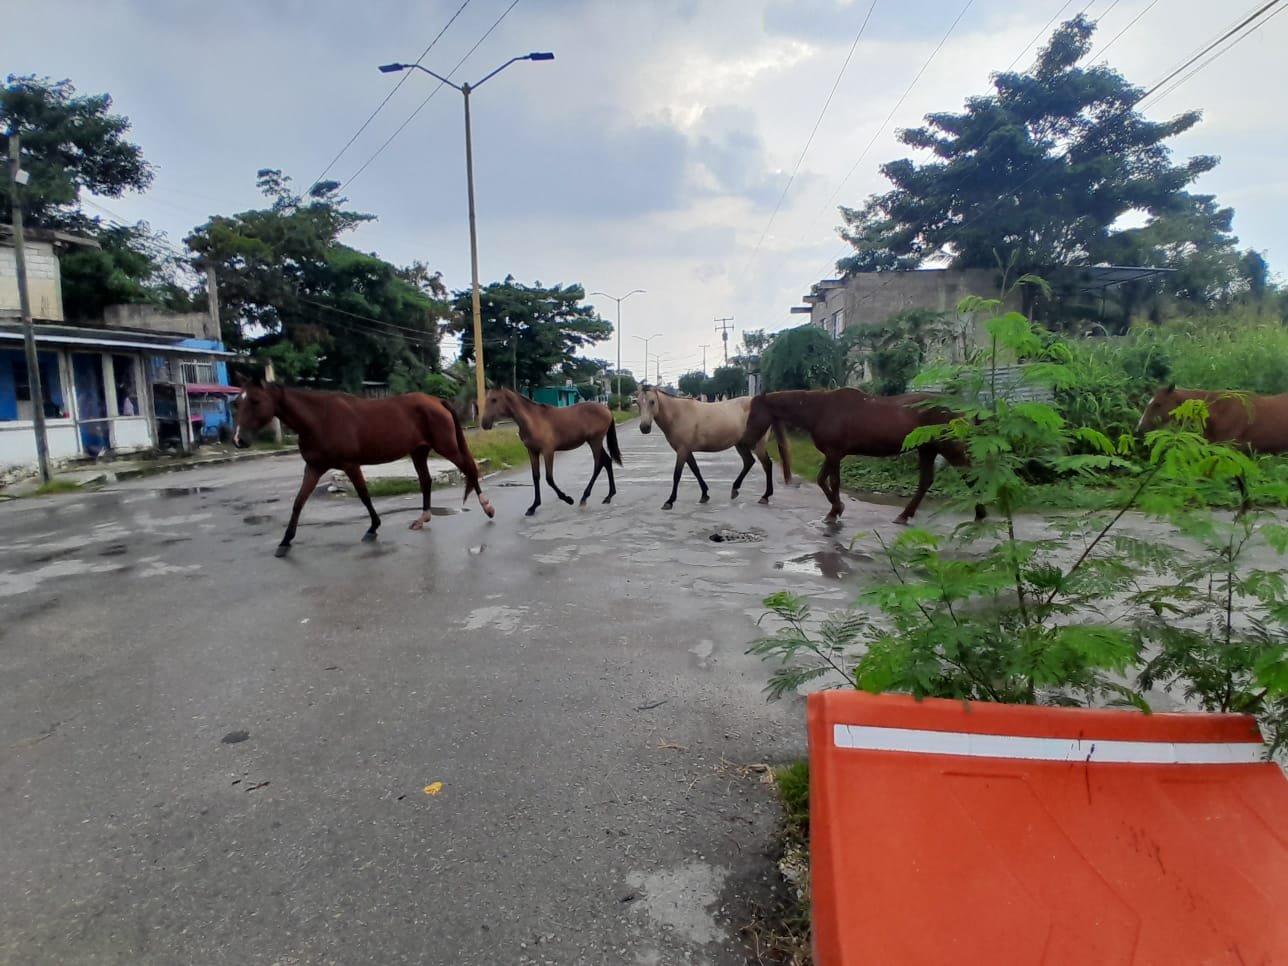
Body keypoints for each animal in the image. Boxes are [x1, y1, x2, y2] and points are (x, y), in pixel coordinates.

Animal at [231, 381, 492, 556]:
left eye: (255, 401)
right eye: (237, 402)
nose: (238, 440)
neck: (319, 419)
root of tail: (436, 401)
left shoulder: (350, 464)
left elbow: (364, 495)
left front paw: (373, 528)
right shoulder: (314, 467)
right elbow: (298, 502)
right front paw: (285, 542)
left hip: (446, 447)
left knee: (469, 468)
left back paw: (487, 507)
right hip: (419, 451)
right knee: (426, 480)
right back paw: (423, 517)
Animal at [481, 388, 625, 517]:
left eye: (494, 399)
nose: (484, 423)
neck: (533, 420)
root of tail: (607, 410)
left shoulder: (548, 451)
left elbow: (549, 478)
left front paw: (568, 499)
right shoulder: (532, 451)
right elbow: (536, 477)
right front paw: (533, 507)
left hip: (595, 441)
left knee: (599, 464)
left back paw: (584, 498)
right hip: (594, 441)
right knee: (607, 461)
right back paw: (609, 496)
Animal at [736, 388, 984, 525]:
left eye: (754, 413)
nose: (744, 440)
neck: (821, 409)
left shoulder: (834, 454)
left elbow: (830, 481)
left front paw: (835, 511)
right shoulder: (833, 454)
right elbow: (824, 480)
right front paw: (837, 509)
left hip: (948, 448)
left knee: (971, 477)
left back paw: (981, 515)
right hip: (927, 449)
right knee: (925, 481)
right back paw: (904, 515)